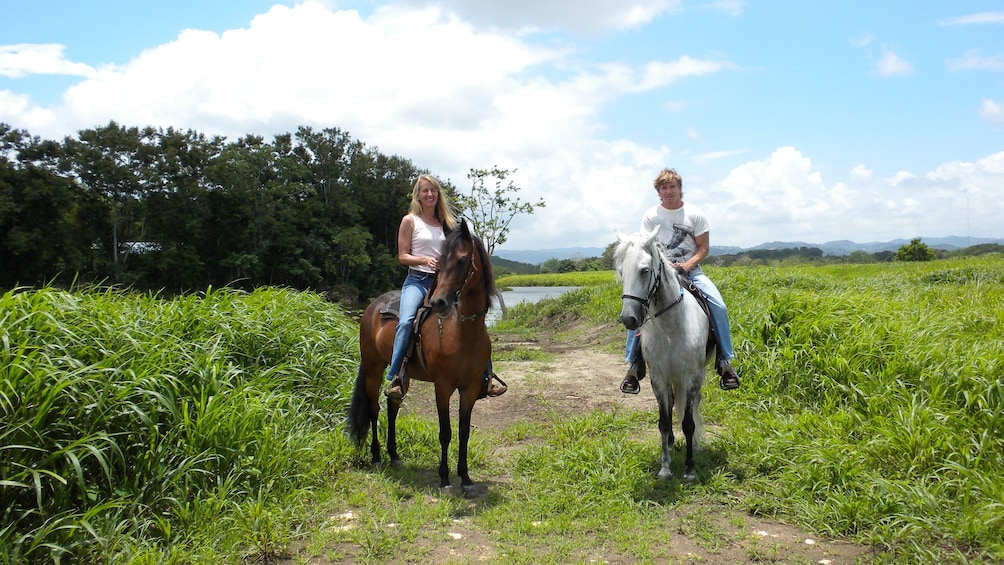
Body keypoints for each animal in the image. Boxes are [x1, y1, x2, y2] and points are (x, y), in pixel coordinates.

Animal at [347, 220, 499, 499]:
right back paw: (376, 457)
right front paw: (445, 480)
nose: (439, 302)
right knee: (374, 409)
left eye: (462, 260)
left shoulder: (470, 388)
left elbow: (463, 432)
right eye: (439, 262)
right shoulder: (443, 386)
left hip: (401, 374)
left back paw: (395, 456)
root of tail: (373, 306)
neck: (462, 331)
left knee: (393, 405)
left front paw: (466, 479)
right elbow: (445, 432)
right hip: (374, 368)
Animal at [610, 226, 714, 481]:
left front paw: (689, 470)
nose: (628, 319)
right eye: (621, 272)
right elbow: (664, 422)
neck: (671, 328)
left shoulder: (691, 376)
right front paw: (665, 467)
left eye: (645, 271)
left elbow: (688, 423)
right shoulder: (659, 378)